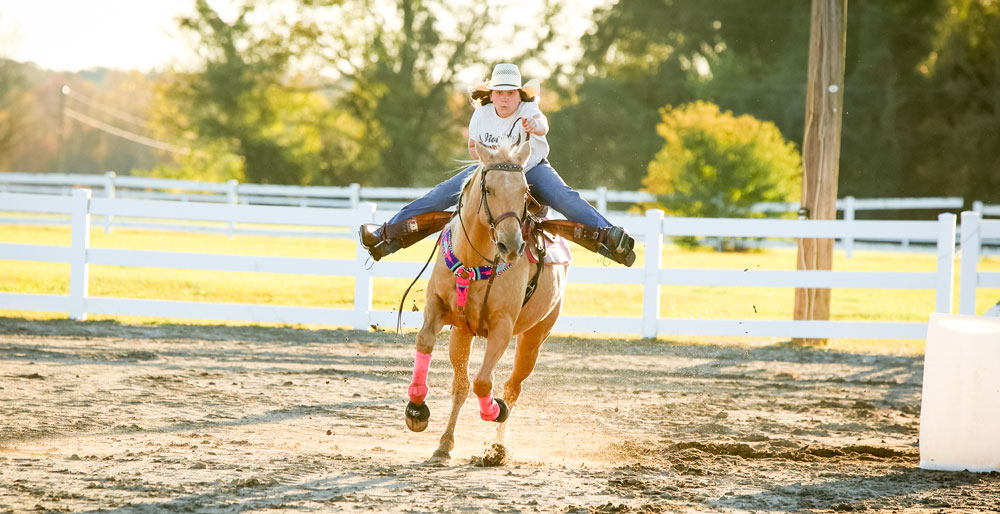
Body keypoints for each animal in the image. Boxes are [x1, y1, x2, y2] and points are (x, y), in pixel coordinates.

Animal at [402, 138, 568, 462]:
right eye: (488, 189)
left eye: (525, 191)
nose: (511, 245)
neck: (472, 259)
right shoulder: (438, 309)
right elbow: (425, 342)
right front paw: (416, 409)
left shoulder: (502, 328)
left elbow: (484, 382)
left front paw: (495, 410)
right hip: (462, 333)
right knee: (461, 385)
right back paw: (444, 444)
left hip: (534, 338)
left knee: (512, 387)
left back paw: (498, 448)